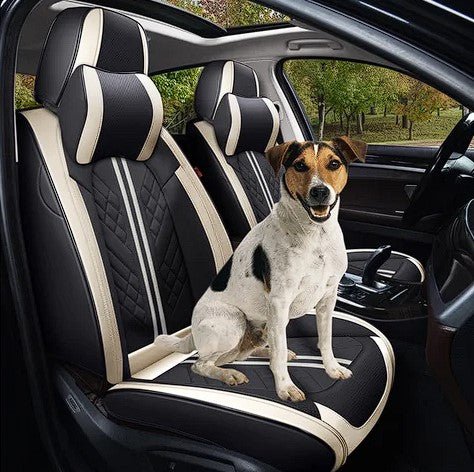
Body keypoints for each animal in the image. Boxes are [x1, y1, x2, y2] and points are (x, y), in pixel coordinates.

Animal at [155, 136, 367, 402]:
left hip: (262, 327)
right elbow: (282, 349)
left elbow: (325, 340)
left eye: (334, 164)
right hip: (233, 321)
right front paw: (285, 387)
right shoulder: (279, 301)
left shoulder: (328, 298)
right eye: (300, 166)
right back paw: (230, 374)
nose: (320, 191)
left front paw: (332, 368)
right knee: (202, 364)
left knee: (242, 352)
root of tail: (192, 333)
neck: (315, 235)